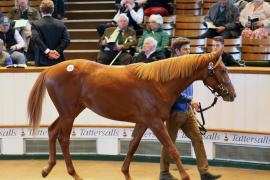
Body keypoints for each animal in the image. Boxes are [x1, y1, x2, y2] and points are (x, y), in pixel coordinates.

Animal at [26, 48, 235, 180]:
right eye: (223, 70)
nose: (232, 95)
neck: (158, 83)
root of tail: (50, 69)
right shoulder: (155, 123)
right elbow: (172, 149)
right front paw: (185, 176)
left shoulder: (143, 122)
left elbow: (132, 146)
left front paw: (126, 173)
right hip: (69, 113)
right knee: (63, 139)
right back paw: (74, 174)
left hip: (71, 110)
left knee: (52, 131)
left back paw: (47, 169)